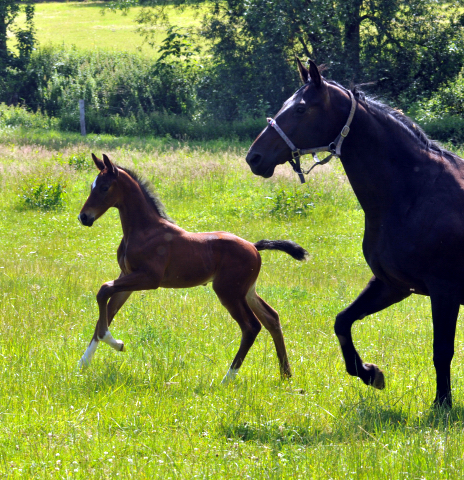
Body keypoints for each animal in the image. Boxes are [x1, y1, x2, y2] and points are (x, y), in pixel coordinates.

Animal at [77, 154, 308, 382]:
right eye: (92, 186)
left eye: (104, 187)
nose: (84, 217)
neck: (145, 230)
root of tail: (253, 246)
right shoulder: (127, 276)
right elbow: (107, 309)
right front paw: (83, 363)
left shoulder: (149, 278)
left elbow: (103, 290)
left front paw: (116, 343)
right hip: (247, 290)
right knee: (271, 318)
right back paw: (286, 374)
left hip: (228, 291)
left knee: (251, 326)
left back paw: (227, 379)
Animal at [246, 58, 464, 406]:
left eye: (301, 109)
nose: (254, 157)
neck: (415, 193)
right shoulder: (393, 284)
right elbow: (343, 321)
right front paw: (370, 372)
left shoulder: (445, 290)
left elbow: (442, 350)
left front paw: (442, 404)